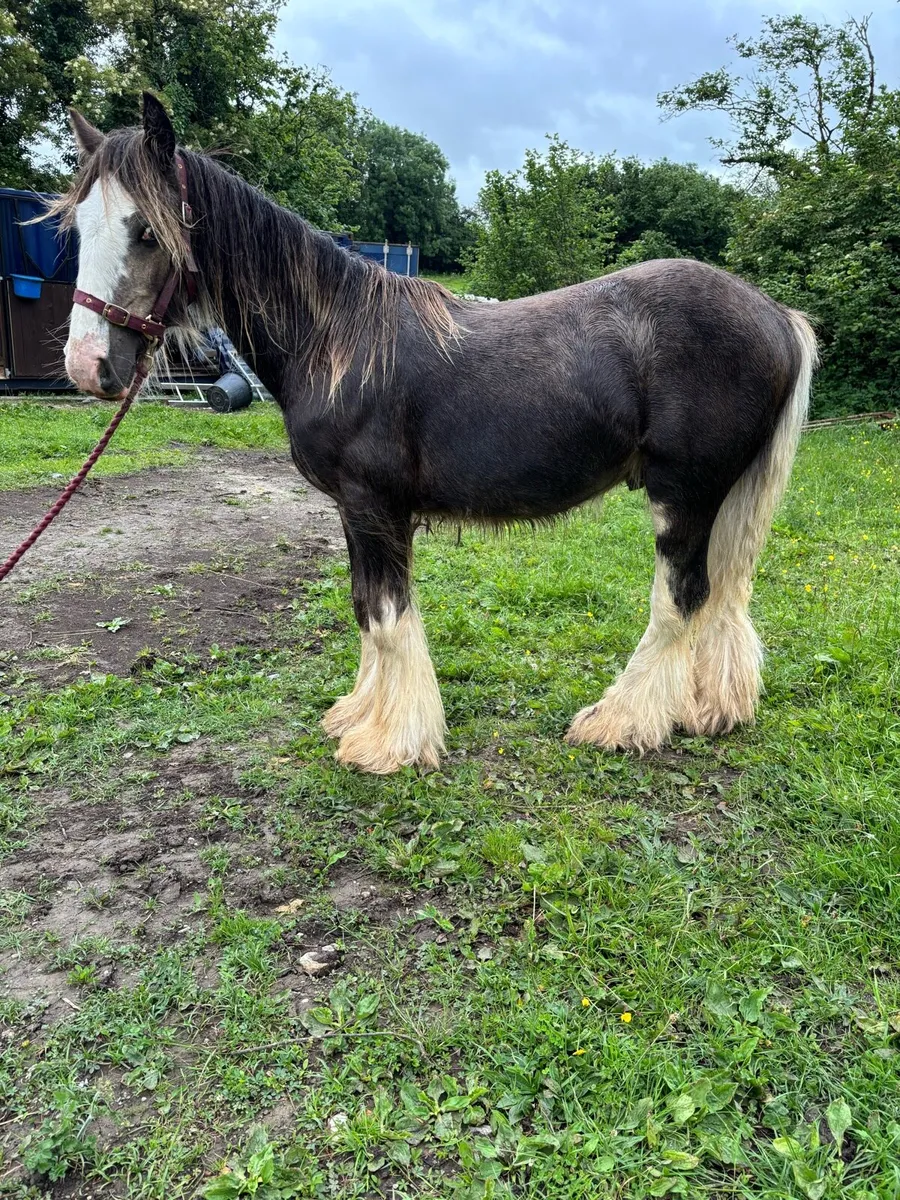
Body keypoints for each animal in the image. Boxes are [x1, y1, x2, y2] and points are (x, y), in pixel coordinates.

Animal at [56, 94, 816, 775]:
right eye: (77, 229)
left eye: (146, 230)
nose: (88, 366)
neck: (336, 339)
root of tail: (775, 315)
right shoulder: (355, 511)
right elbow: (365, 609)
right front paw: (359, 716)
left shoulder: (375, 506)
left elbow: (390, 619)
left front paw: (390, 744)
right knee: (721, 594)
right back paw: (710, 708)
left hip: (684, 496)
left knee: (679, 600)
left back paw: (622, 722)